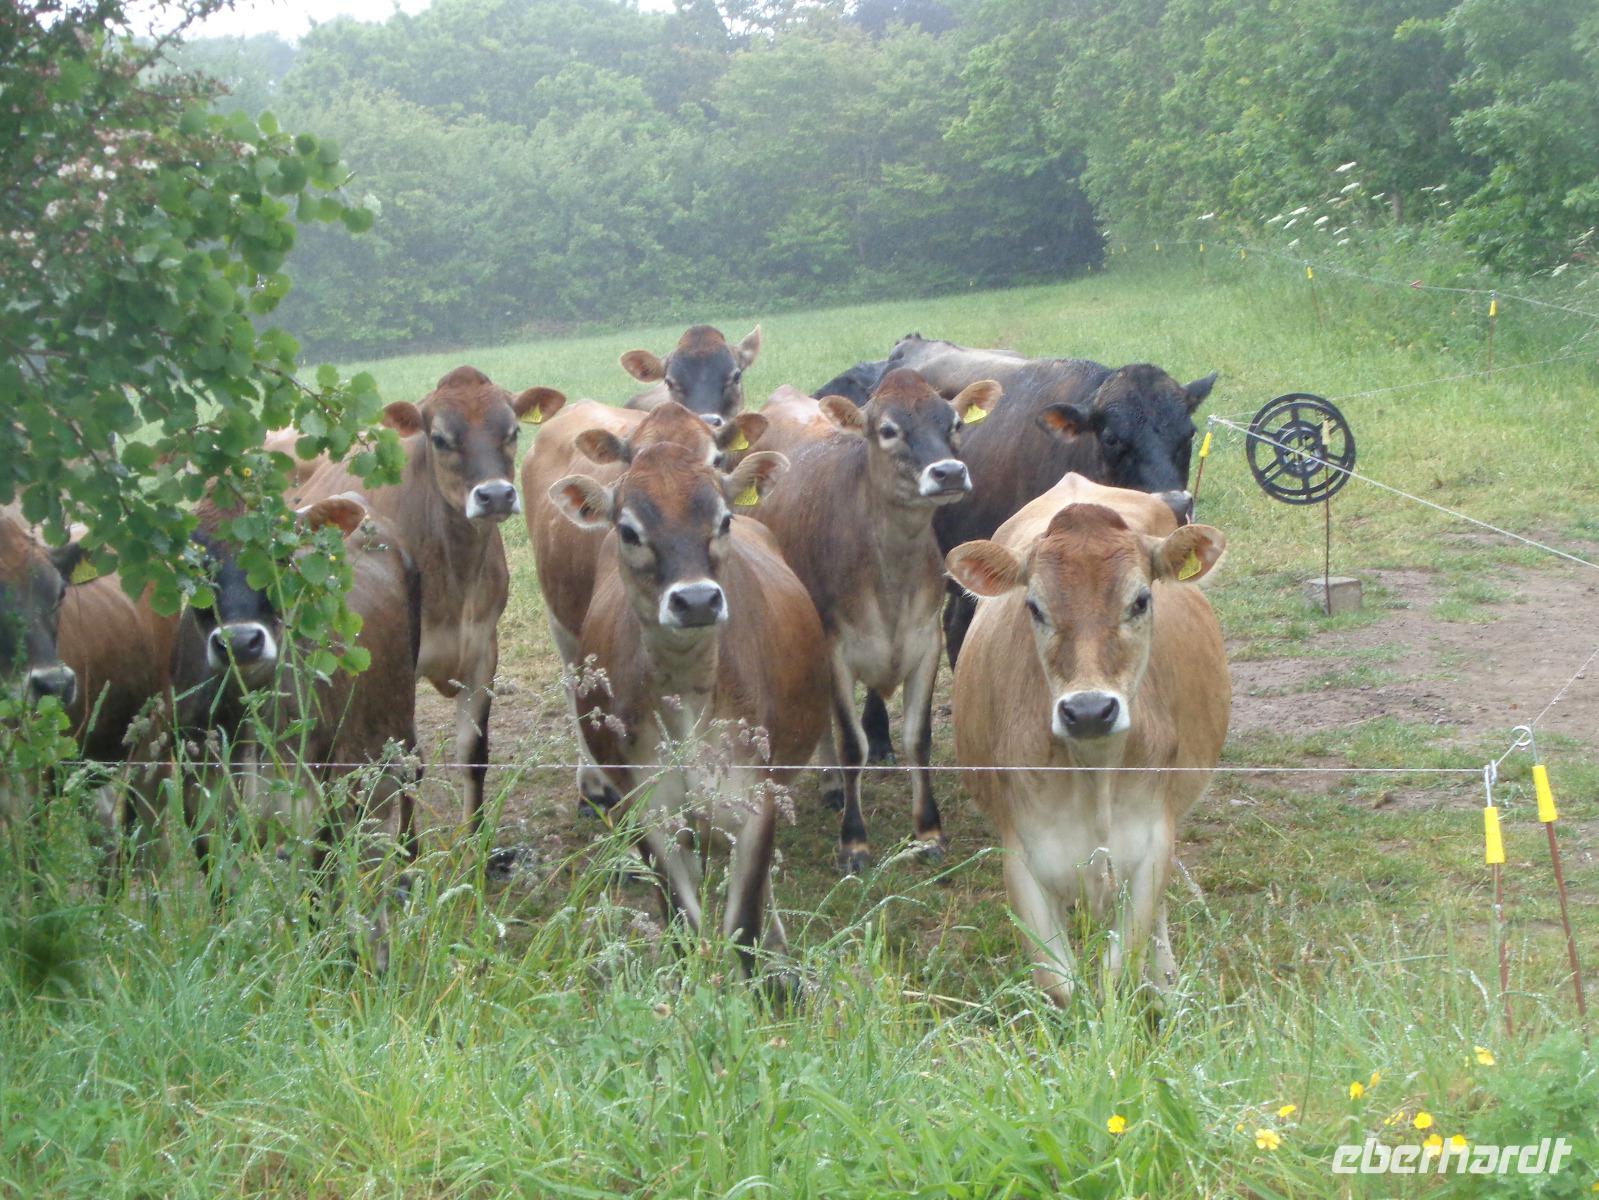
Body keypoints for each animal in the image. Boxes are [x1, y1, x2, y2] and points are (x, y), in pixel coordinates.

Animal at [163, 494, 422, 966]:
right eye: (194, 564)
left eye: (281, 556)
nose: (241, 642)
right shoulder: (204, 809)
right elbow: (225, 905)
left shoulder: (323, 808)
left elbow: (318, 902)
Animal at [293, 366, 566, 834]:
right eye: (439, 438)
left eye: (512, 430)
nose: (495, 495)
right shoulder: (404, 661)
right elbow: (409, 763)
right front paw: (407, 847)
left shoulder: (482, 650)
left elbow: (474, 754)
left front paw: (473, 845)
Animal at [549, 441, 826, 977]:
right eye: (629, 530)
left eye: (724, 519)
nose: (696, 600)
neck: (691, 702)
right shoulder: (648, 810)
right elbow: (684, 926)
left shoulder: (757, 801)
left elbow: (744, 926)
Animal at [750, 368, 999, 873]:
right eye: (887, 430)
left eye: (953, 423)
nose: (948, 472)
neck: (890, 583)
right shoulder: (835, 649)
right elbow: (852, 743)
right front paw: (854, 841)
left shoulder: (926, 643)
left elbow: (918, 738)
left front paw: (929, 831)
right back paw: (830, 785)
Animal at [946, 482, 1230, 1005]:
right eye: (1034, 607)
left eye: (1141, 600)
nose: (1090, 710)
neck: (1095, 772)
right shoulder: (1023, 857)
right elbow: (1061, 986)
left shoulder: (1151, 846)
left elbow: (1119, 969)